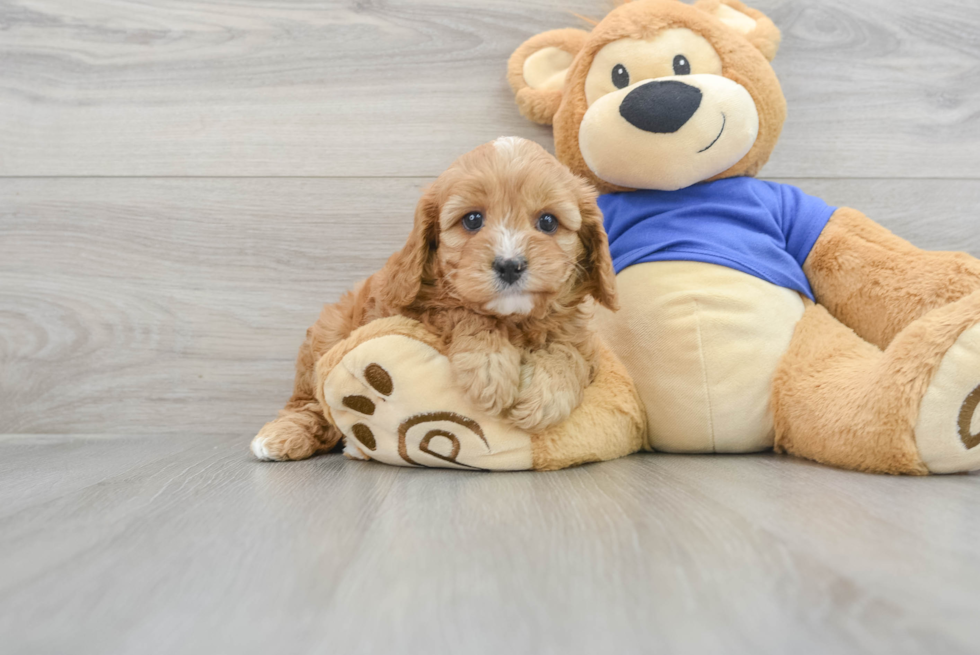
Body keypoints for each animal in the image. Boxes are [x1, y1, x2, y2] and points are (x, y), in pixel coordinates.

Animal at [253, 138, 620, 462]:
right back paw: (281, 436)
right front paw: (490, 370)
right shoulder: (413, 307)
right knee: (309, 403)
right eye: (472, 219)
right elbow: (460, 311)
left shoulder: (577, 336)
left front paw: (545, 397)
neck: (513, 320)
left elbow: (568, 351)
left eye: (547, 221)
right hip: (326, 335)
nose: (509, 265)